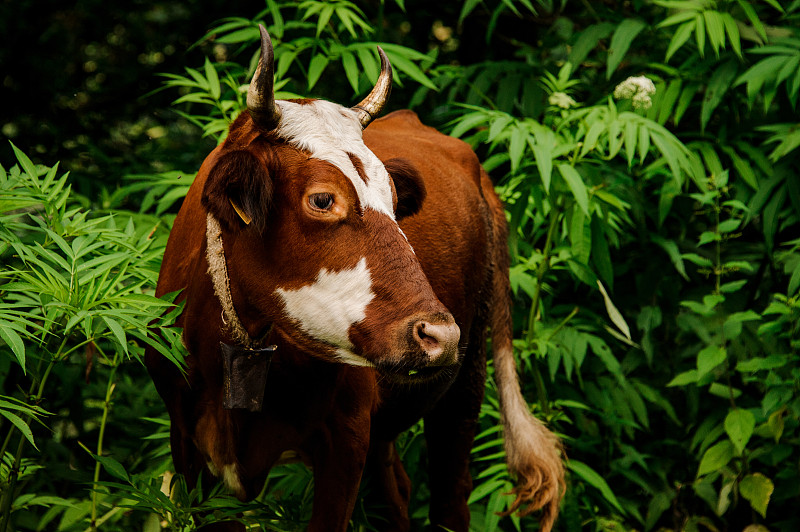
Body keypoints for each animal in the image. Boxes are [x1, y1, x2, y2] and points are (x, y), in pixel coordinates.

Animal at [147, 27, 564, 532]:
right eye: (322, 199)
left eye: (394, 198)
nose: (438, 335)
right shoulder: (188, 445)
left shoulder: (345, 437)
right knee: (396, 491)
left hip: (466, 381)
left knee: (451, 495)